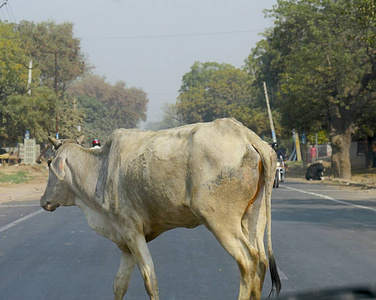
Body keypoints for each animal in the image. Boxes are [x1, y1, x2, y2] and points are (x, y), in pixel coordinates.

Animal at [41, 118, 282, 300]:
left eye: (50, 162)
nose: (44, 200)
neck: (99, 170)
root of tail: (246, 136)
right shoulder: (126, 242)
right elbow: (119, 285)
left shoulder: (131, 231)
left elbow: (150, 279)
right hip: (254, 217)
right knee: (261, 261)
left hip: (221, 222)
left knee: (248, 261)